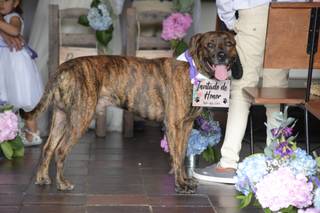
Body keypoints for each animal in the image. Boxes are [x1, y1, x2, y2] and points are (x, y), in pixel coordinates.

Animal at [22, 31, 238, 193]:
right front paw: (181, 184)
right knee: (60, 150)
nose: (222, 55)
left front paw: (185, 180)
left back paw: (42, 178)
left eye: (229, 43)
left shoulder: (186, 126)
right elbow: (177, 156)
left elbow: (183, 153)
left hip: (61, 117)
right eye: (210, 45)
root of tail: (63, 67)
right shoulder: (174, 125)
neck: (193, 70)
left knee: (48, 148)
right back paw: (62, 183)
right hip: (79, 119)